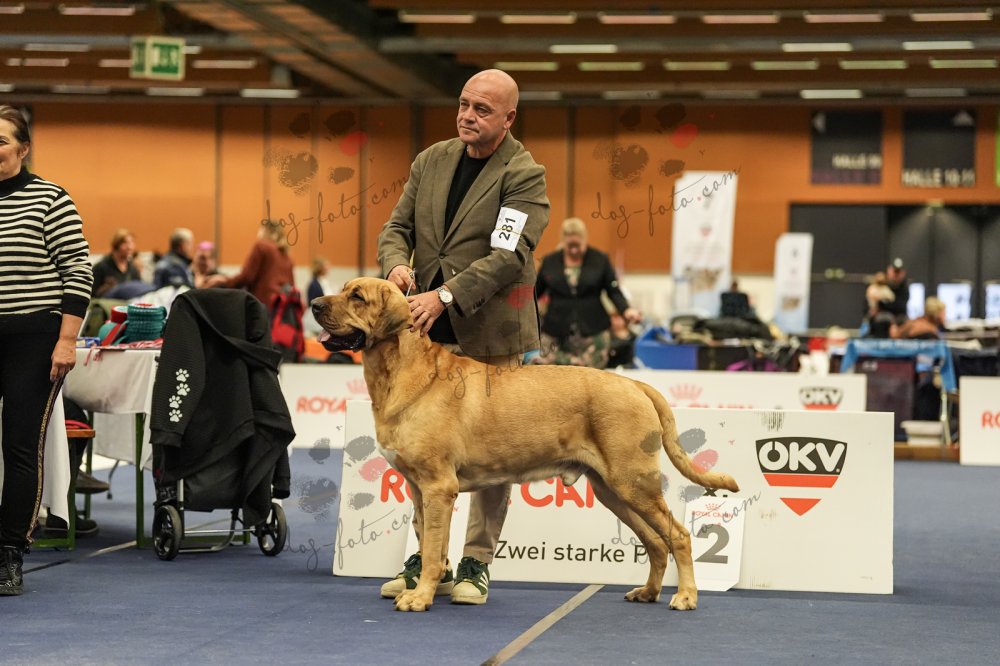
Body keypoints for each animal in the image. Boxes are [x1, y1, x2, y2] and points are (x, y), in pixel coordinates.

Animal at [312, 277, 740, 612]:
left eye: (357, 296)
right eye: (344, 291)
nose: (315, 304)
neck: (401, 370)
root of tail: (634, 383)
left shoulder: (438, 487)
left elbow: (434, 550)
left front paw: (420, 598)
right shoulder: (420, 491)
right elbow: (431, 541)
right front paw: (422, 587)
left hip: (634, 481)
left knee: (678, 536)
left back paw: (685, 597)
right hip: (612, 489)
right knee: (654, 542)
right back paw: (648, 592)